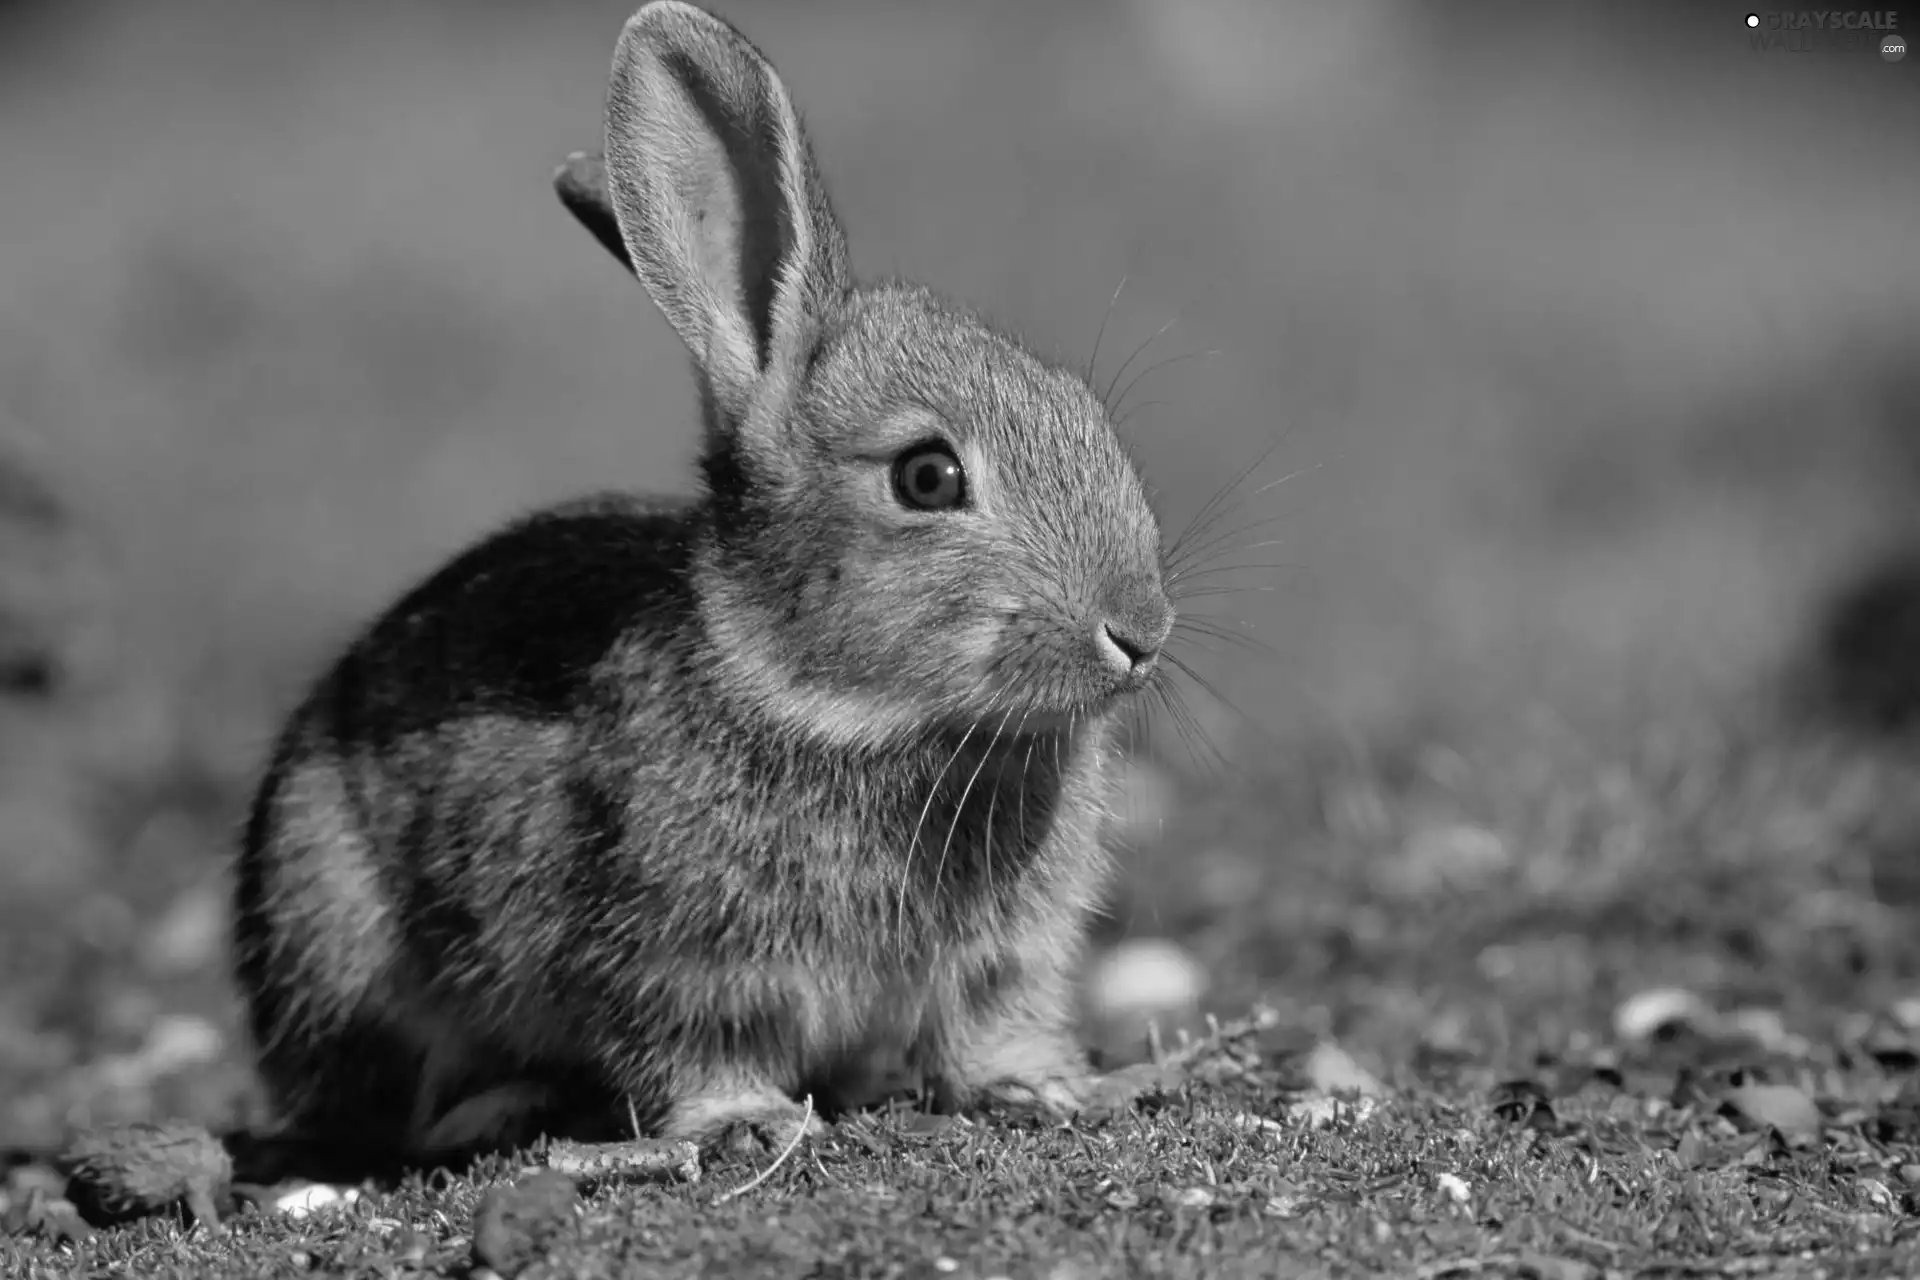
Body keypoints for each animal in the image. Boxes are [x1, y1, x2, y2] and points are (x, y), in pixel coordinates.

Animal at [232, 0, 1175, 1159]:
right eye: (927, 475)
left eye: (1086, 413)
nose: (1138, 630)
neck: (843, 710)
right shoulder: (676, 962)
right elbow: (695, 1050)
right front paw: (748, 1121)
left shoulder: (1003, 960)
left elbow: (994, 1024)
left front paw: (1046, 1088)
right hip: (331, 923)